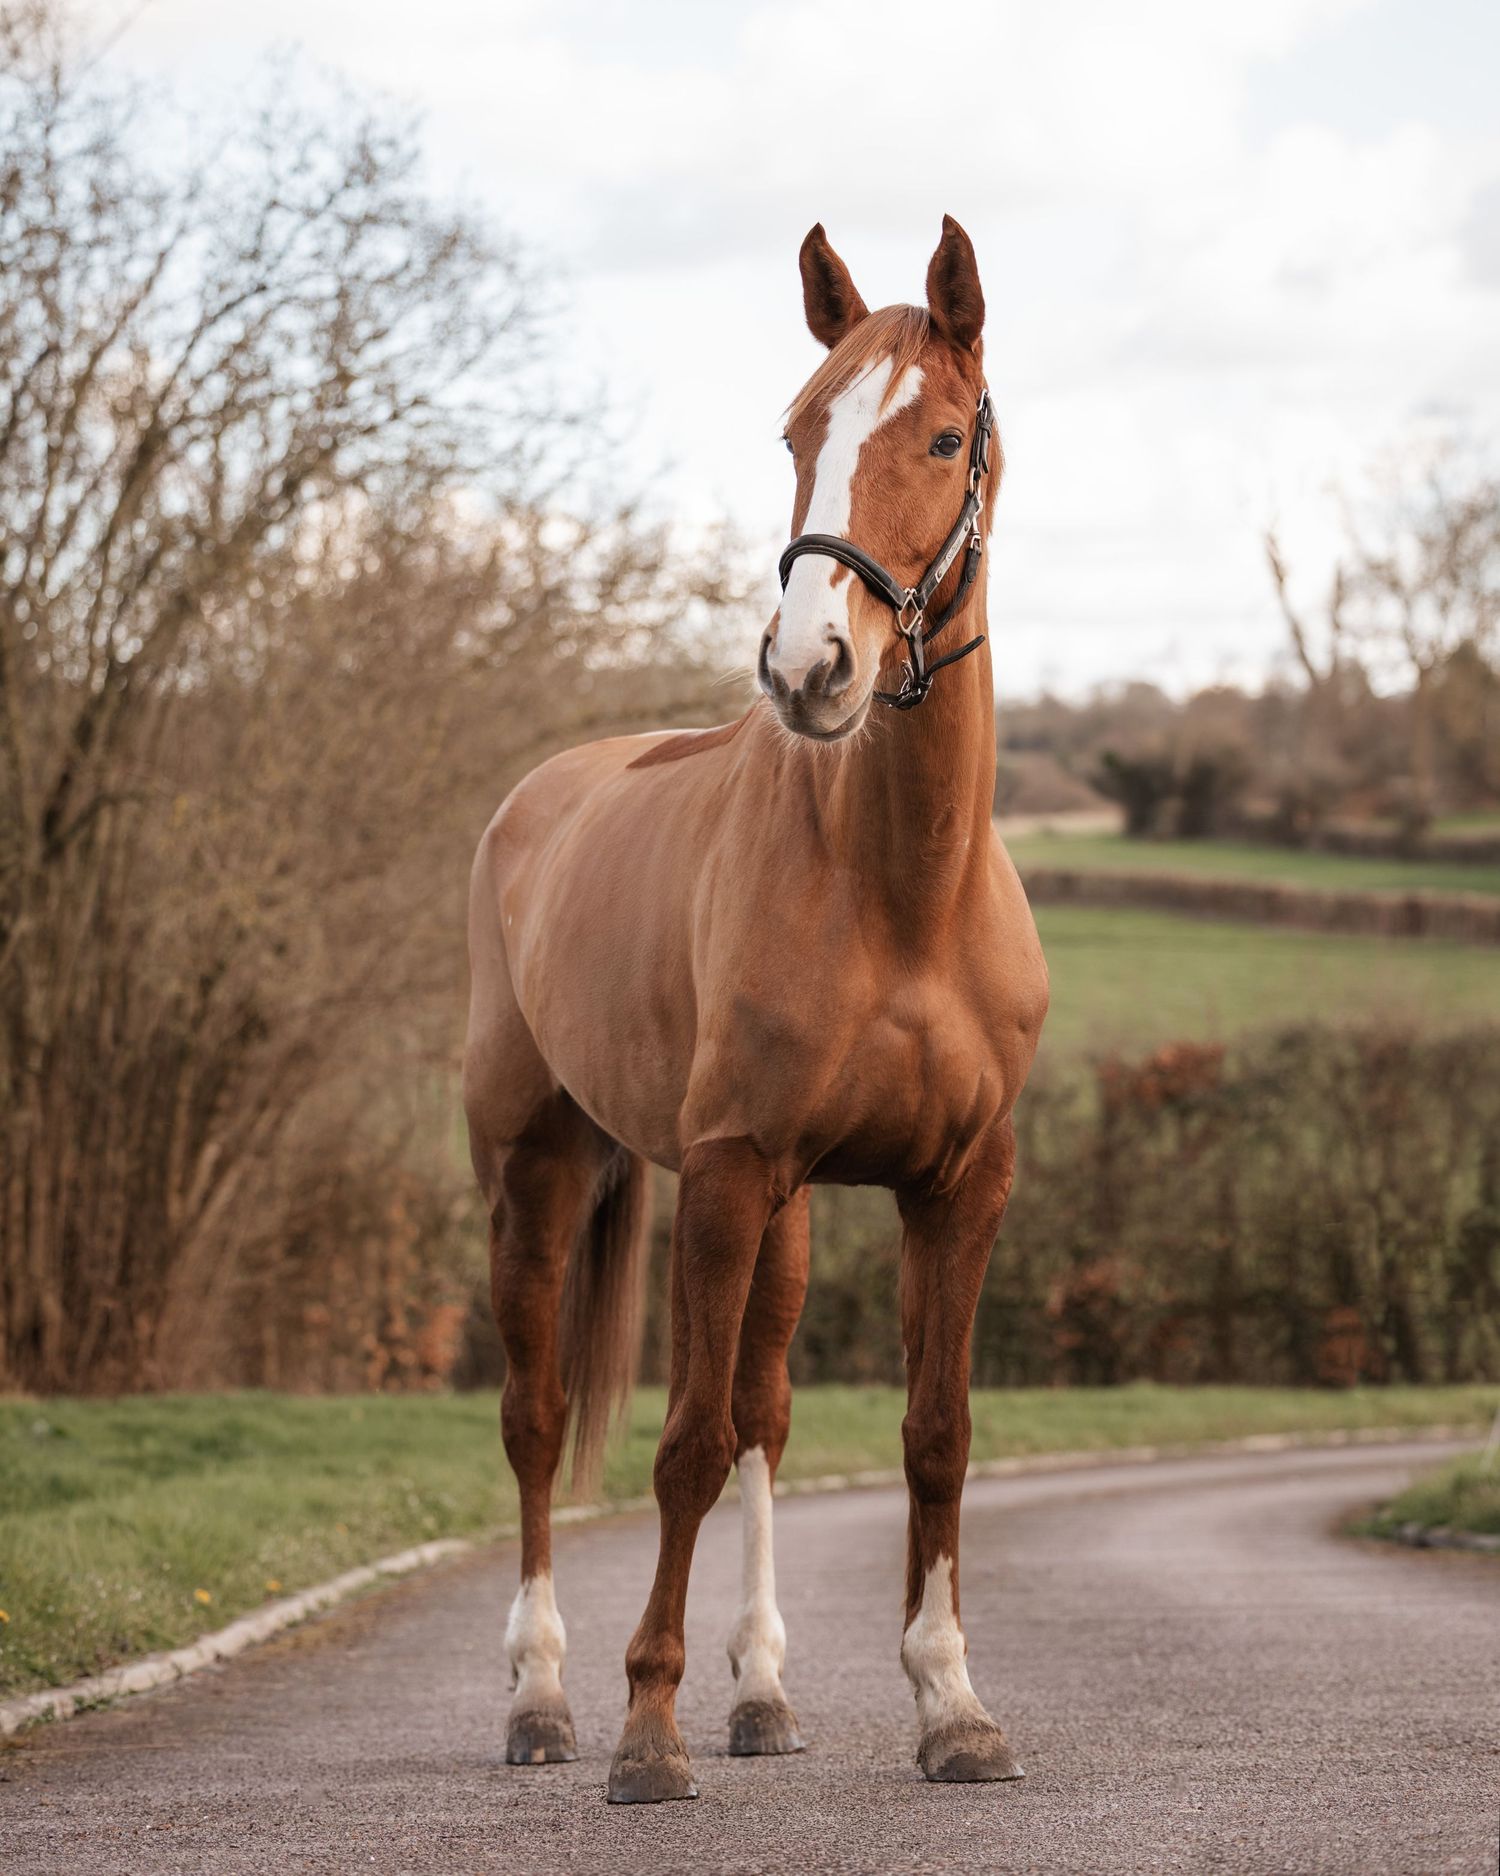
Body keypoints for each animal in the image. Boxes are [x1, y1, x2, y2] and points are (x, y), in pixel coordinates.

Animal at [463, 214, 1049, 1804]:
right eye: (798, 433)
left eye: (945, 435)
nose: (810, 668)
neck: (899, 893)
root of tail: (537, 800)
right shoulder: (722, 1177)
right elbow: (680, 1442)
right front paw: (647, 1730)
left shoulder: (958, 1187)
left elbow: (930, 1435)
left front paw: (953, 1704)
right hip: (538, 1174)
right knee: (540, 1421)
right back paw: (542, 1700)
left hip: (782, 1211)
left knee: (767, 1419)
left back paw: (767, 1690)